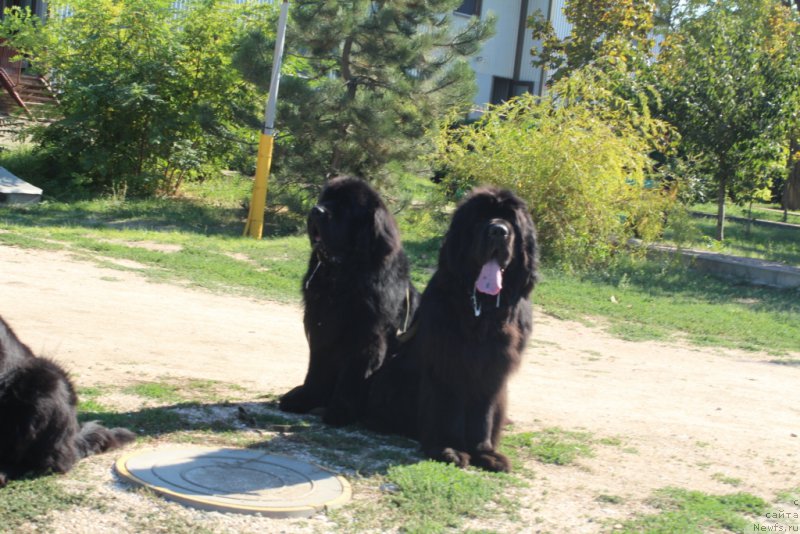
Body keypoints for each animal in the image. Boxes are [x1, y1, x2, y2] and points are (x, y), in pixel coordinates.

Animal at [280, 178, 422, 430]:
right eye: (325, 200)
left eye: (345, 208)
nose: (316, 210)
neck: (341, 278)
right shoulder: (320, 329)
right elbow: (316, 370)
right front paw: (305, 398)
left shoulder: (366, 337)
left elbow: (353, 376)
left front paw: (339, 411)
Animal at [368, 187, 536, 474]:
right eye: (480, 219)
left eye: (512, 222)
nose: (498, 231)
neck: (483, 310)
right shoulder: (449, 363)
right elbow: (451, 411)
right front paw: (450, 448)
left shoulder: (493, 370)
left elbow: (484, 414)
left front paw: (485, 453)